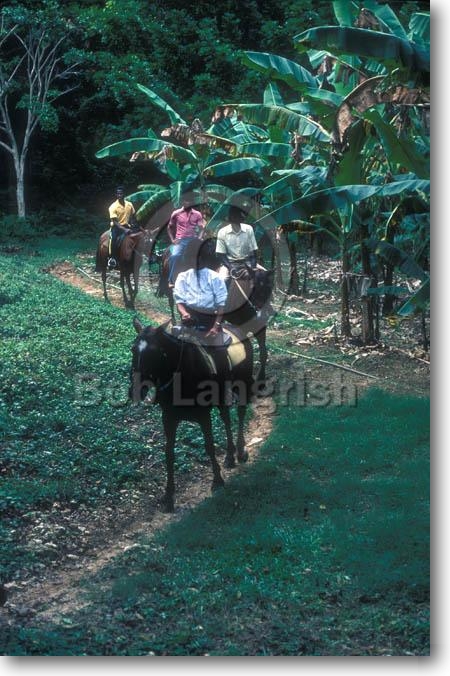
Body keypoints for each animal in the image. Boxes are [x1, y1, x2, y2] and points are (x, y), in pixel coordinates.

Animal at [128, 316, 255, 512]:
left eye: (155, 353)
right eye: (133, 349)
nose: (135, 391)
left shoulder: (203, 416)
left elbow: (209, 446)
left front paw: (217, 480)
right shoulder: (168, 418)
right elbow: (169, 454)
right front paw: (168, 496)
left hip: (243, 386)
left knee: (240, 414)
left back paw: (240, 452)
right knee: (226, 418)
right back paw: (229, 456)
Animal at [156, 242, 272, 380]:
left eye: (270, 288)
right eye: (252, 287)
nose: (264, 314)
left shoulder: (258, 326)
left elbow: (263, 352)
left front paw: (261, 376)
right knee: (172, 302)